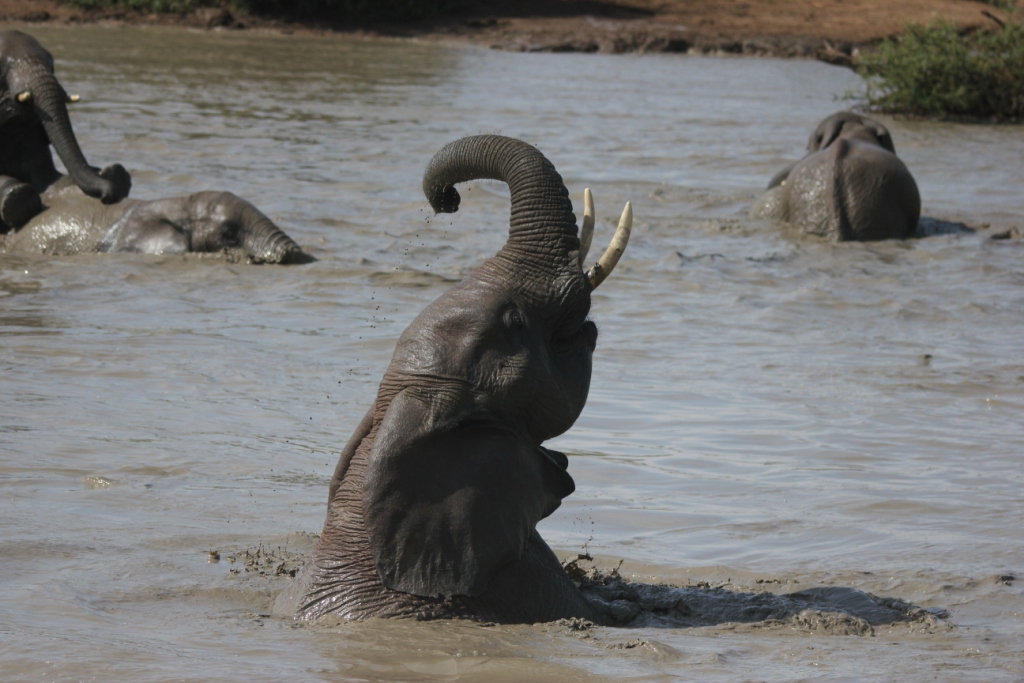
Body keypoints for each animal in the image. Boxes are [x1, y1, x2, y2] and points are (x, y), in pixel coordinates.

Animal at [0, 30, 131, 232]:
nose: (107, 197)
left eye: (51, 64)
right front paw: (18, 196)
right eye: (0, 67)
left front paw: (112, 174)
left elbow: (49, 178)